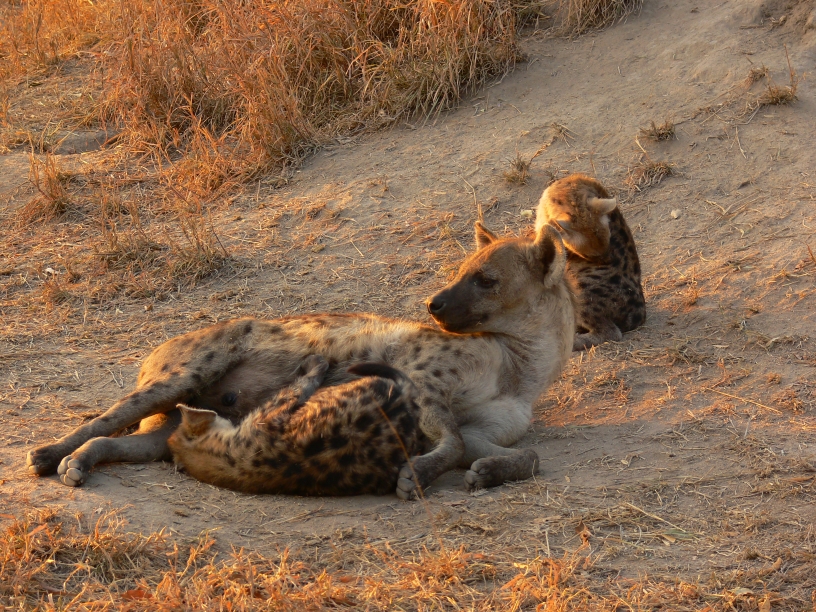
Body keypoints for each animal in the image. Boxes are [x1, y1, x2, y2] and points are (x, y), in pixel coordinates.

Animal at [535, 173, 646, 351]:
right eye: (588, 255)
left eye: (606, 246)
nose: (606, 259)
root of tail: (640, 313)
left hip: (582, 290)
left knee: (611, 331)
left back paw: (573, 341)